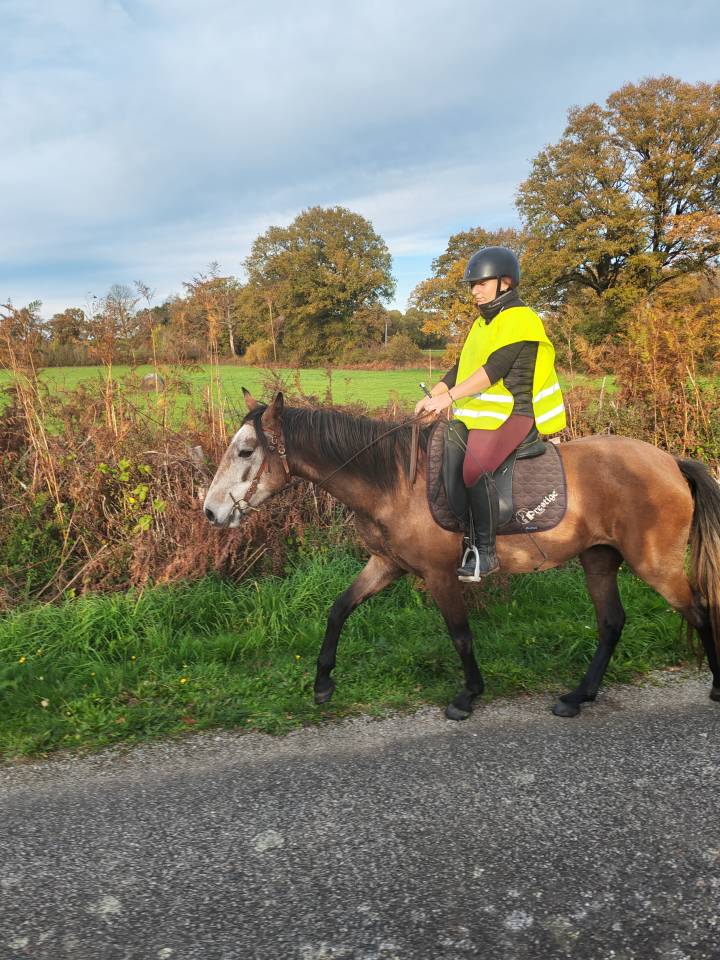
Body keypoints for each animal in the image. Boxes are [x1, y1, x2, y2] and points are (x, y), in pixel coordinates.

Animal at [203, 390, 720, 721]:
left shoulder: (438, 574)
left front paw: (469, 695)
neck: (395, 481)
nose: (211, 512)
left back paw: (714, 686)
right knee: (612, 622)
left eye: (246, 451)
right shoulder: (387, 565)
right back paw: (578, 696)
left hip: (655, 565)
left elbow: (460, 635)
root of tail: (670, 462)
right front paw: (323, 684)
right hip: (598, 559)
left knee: (699, 610)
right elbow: (338, 609)